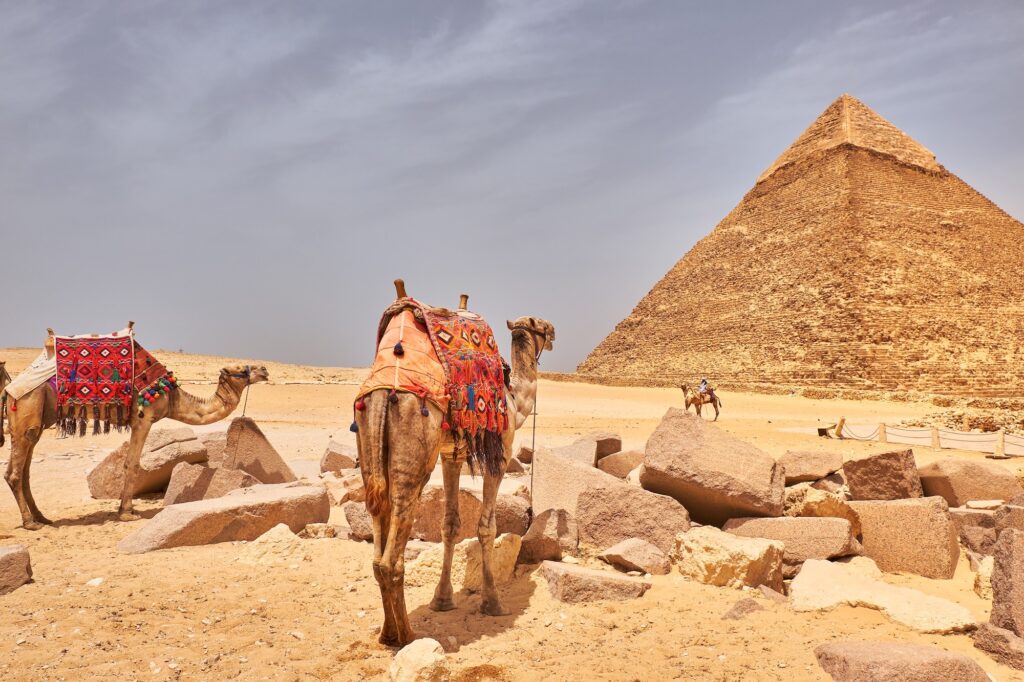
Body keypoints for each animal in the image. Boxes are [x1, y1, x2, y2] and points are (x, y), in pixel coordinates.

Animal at [4, 358, 268, 529]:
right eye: (240, 368)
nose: (264, 370)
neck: (171, 396)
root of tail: (9, 389)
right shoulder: (143, 419)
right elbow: (131, 465)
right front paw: (127, 513)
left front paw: (125, 509)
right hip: (29, 406)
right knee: (15, 472)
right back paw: (30, 523)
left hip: (39, 417)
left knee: (24, 469)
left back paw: (41, 517)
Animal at [356, 282, 554, 647]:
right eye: (541, 324)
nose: (554, 332)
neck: (513, 398)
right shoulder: (500, 451)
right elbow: (486, 527)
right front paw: (492, 602)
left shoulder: (452, 453)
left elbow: (449, 524)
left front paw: (442, 599)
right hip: (413, 451)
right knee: (391, 558)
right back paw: (407, 635)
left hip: (370, 448)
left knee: (377, 550)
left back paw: (388, 633)